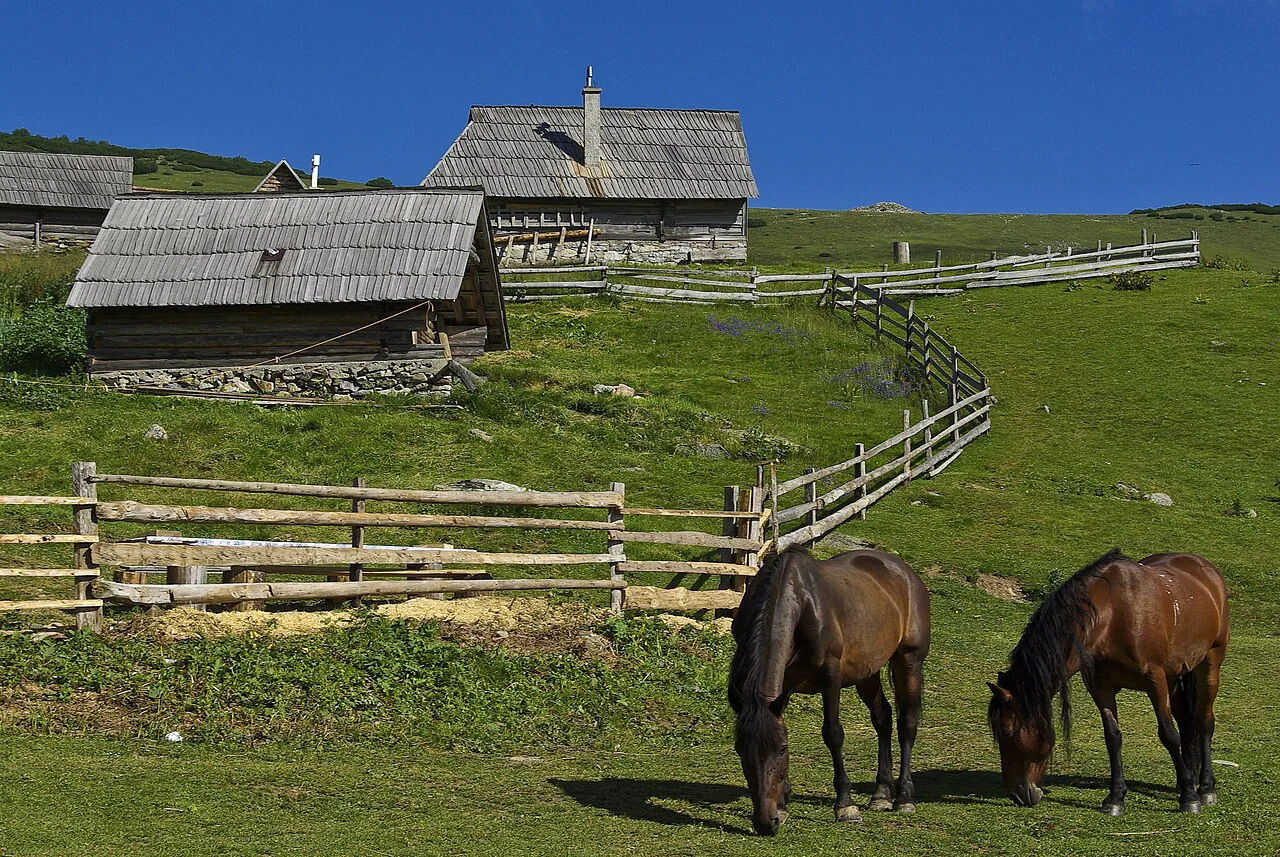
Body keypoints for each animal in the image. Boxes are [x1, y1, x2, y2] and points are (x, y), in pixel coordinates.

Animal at [727, 547, 931, 836]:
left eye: (781, 749)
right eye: (740, 749)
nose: (766, 823)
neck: (800, 604)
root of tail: (905, 572)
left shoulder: (830, 677)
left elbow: (833, 734)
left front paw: (845, 805)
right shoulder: (784, 685)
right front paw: (783, 804)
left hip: (909, 660)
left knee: (907, 723)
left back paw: (904, 797)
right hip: (866, 671)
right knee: (882, 718)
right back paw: (881, 794)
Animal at [987, 549, 1229, 815]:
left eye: (1006, 732)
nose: (1016, 794)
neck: (1111, 618)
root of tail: (1206, 569)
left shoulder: (1155, 682)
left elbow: (1168, 734)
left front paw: (1189, 798)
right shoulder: (1101, 687)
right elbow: (1112, 738)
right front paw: (1115, 798)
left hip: (1210, 664)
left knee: (1204, 721)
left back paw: (1205, 787)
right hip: (1175, 675)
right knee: (1187, 722)